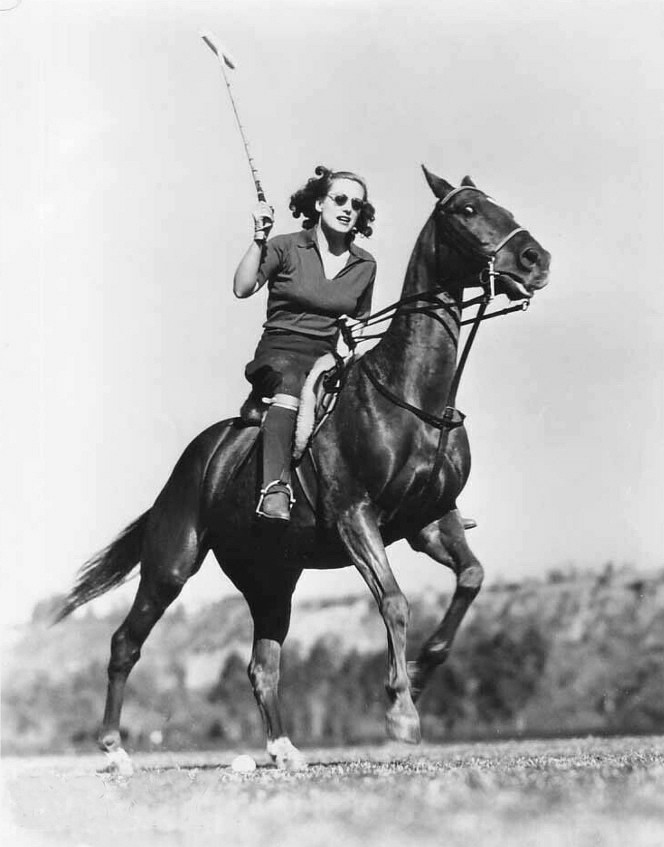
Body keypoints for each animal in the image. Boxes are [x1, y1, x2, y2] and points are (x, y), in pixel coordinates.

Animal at [58, 167, 548, 776]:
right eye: (467, 211)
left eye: (503, 207)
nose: (535, 258)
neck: (412, 400)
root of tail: (195, 463)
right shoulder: (356, 517)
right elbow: (394, 601)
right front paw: (400, 712)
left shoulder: (432, 521)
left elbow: (473, 577)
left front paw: (420, 675)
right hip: (171, 564)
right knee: (126, 643)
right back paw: (114, 749)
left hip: (271, 578)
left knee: (262, 666)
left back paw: (283, 748)